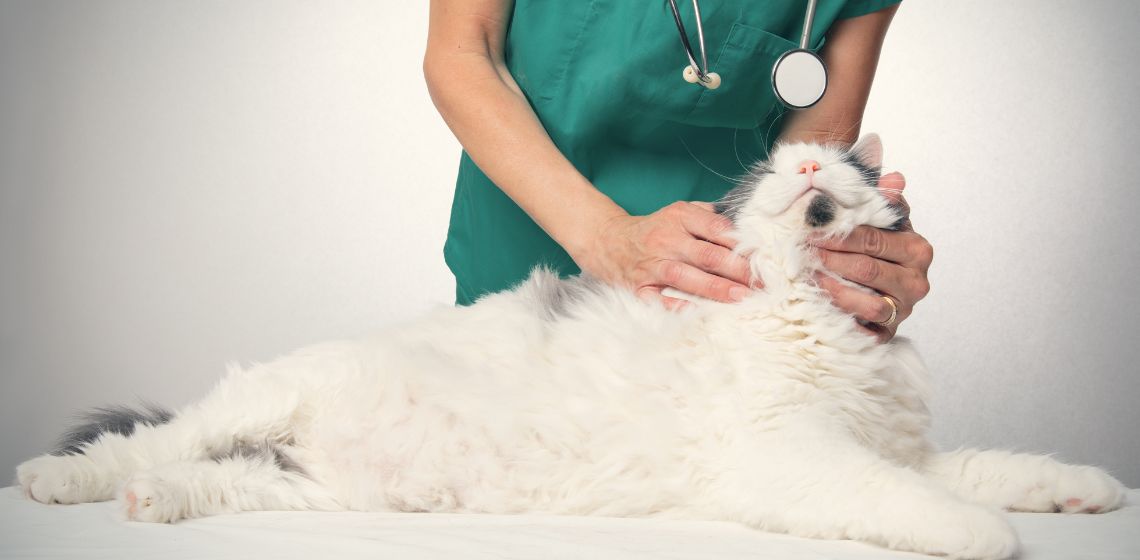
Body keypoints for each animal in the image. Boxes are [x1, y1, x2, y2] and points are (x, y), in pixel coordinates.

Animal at [15, 136, 1121, 560]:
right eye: (791, 170)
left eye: (842, 183)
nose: (809, 165)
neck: (812, 321)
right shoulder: (794, 457)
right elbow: (919, 502)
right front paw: (986, 534)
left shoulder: (901, 445)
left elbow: (1000, 467)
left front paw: (1085, 492)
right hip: (264, 400)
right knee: (138, 444)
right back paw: (56, 481)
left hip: (304, 491)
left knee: (199, 478)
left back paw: (152, 507)